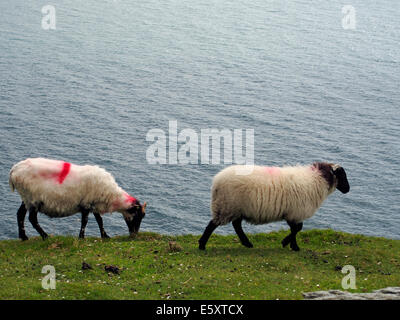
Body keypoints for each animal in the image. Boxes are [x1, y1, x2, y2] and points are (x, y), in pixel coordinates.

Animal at [9, 158, 147, 240]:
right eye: (137, 215)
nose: (134, 235)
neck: (112, 196)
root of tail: (14, 170)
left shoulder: (93, 204)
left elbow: (100, 221)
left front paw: (105, 235)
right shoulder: (86, 203)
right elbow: (85, 221)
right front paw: (82, 237)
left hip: (26, 198)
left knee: (20, 214)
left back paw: (24, 237)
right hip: (33, 199)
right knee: (32, 219)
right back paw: (45, 236)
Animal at [198, 162, 348, 250]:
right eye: (342, 175)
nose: (348, 189)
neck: (317, 179)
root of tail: (216, 181)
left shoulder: (292, 213)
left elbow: (296, 229)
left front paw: (289, 244)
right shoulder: (295, 212)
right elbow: (297, 228)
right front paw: (291, 245)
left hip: (236, 208)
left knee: (236, 225)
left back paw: (247, 243)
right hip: (227, 206)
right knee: (213, 225)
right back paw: (202, 245)